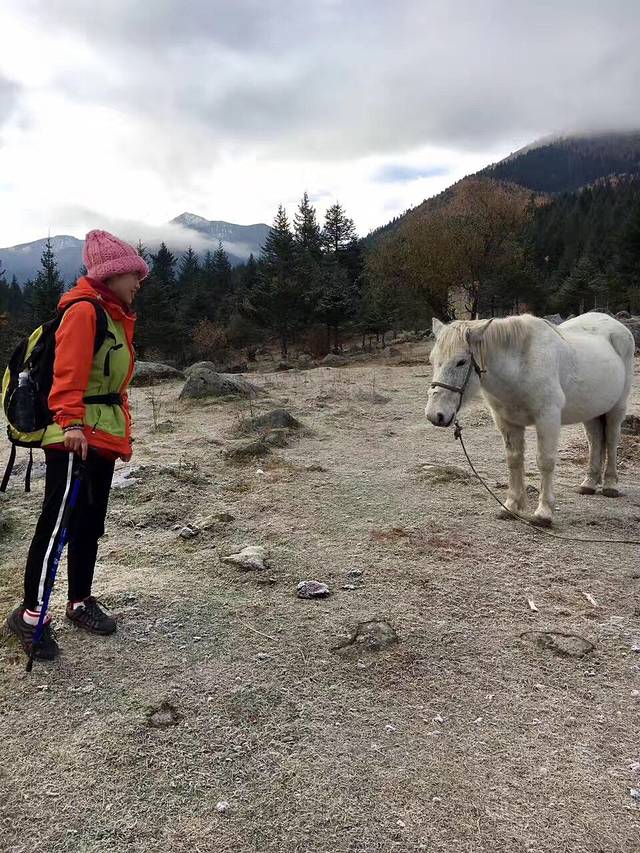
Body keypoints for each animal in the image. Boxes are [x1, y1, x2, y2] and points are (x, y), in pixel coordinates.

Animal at [425, 312, 635, 526]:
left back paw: (610, 485)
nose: (435, 415)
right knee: (595, 440)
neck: (520, 366)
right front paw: (510, 506)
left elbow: (545, 461)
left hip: (617, 408)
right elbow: (514, 460)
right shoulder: (507, 422)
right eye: (432, 360)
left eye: (461, 362)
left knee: (611, 439)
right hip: (591, 411)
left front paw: (544, 512)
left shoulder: (547, 418)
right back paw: (589, 483)